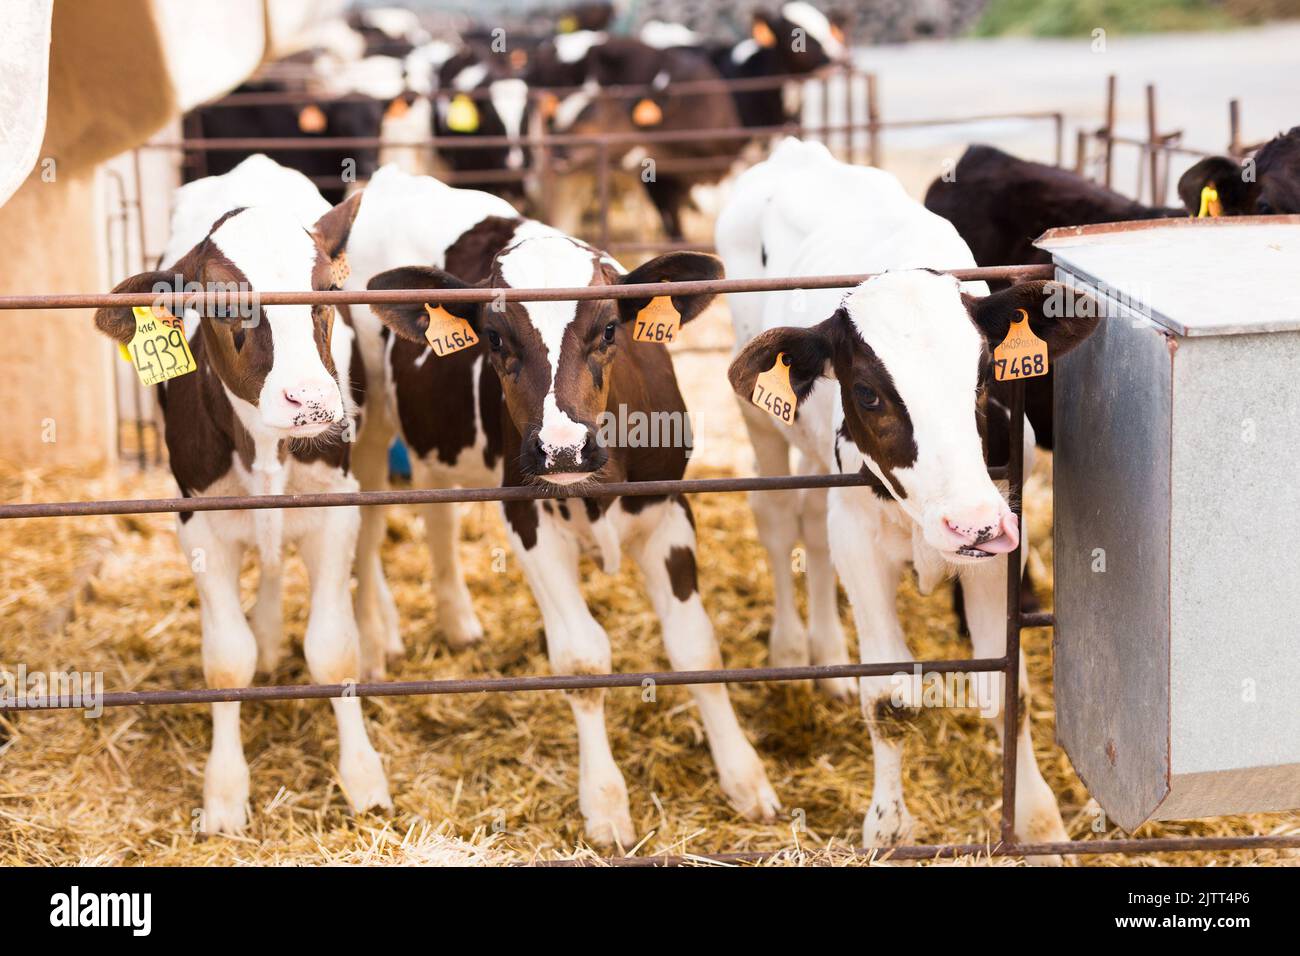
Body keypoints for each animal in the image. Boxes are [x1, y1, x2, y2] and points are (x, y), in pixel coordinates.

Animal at [89, 156, 390, 835]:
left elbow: (333, 651)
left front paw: (363, 778)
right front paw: (224, 792)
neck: (266, 448)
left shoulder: (334, 507)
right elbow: (228, 660)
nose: (312, 401)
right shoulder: (198, 522)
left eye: (325, 294)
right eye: (224, 308)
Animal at [336, 165, 779, 845]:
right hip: (366, 424)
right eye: (494, 338)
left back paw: (456, 618)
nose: (563, 449)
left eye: (608, 330)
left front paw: (744, 777)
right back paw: (371, 640)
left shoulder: (671, 509)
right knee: (365, 522)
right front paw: (605, 803)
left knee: (436, 512)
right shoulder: (528, 519)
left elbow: (697, 647)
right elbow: (582, 658)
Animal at [720, 139, 1102, 859]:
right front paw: (888, 826)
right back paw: (792, 647)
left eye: (984, 378)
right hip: (765, 430)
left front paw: (1038, 821)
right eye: (868, 394)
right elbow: (890, 699)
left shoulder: (996, 542)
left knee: (809, 525)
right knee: (781, 522)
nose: (971, 524)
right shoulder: (861, 547)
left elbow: (1007, 689)